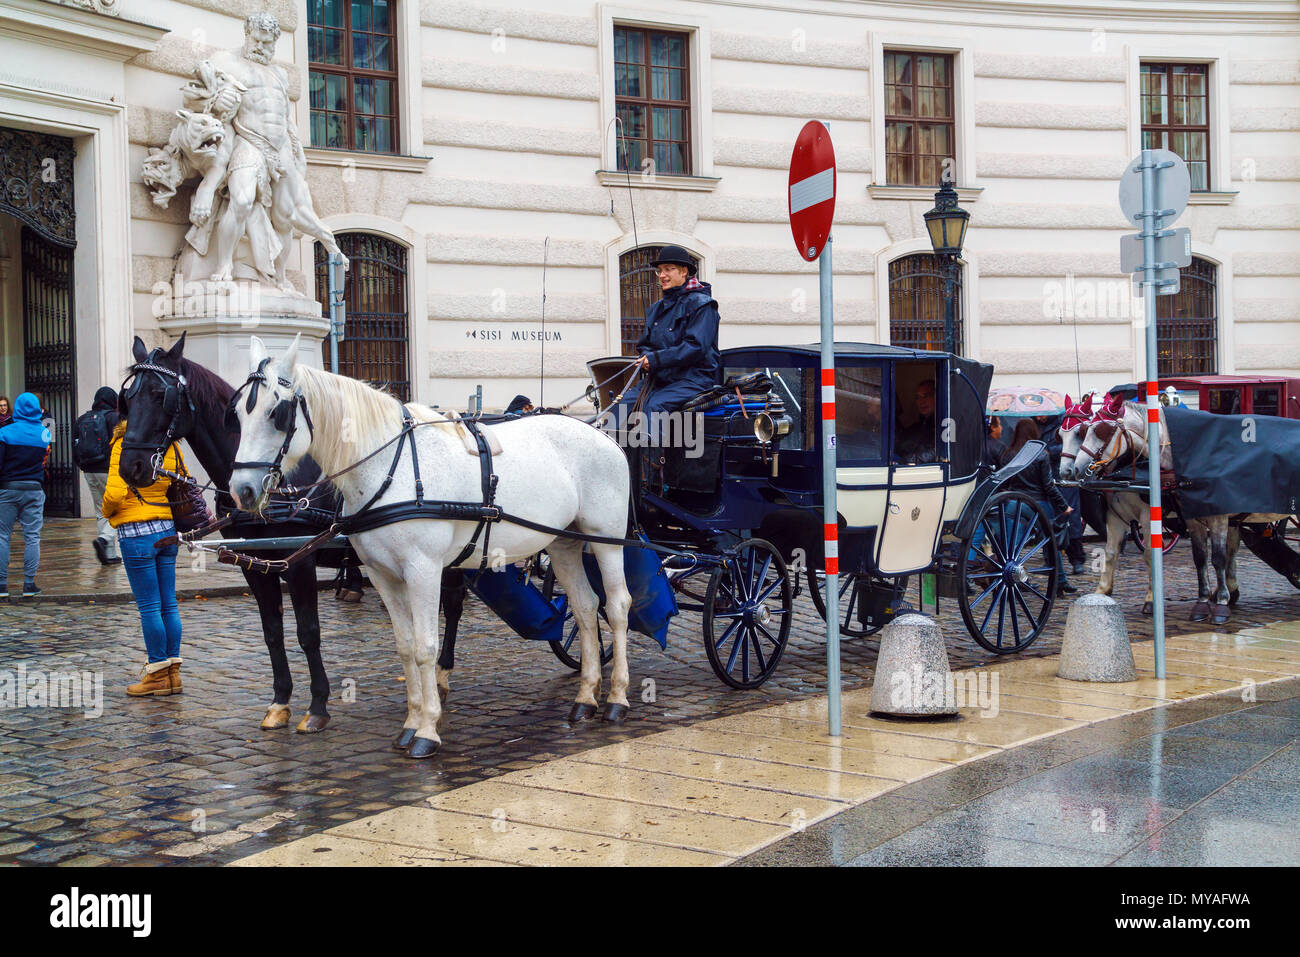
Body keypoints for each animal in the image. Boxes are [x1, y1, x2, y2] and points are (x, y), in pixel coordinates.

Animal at [113, 335, 467, 733]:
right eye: (127, 399)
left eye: (160, 394)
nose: (130, 467)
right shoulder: (253, 564)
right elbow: (272, 633)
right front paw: (279, 701)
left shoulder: (300, 563)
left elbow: (308, 632)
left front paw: (317, 706)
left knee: (453, 603)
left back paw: (442, 673)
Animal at [228, 332, 634, 759]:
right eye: (237, 413)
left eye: (277, 413)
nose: (242, 491)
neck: (391, 469)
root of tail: (601, 434)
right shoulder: (383, 575)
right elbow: (406, 647)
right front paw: (410, 723)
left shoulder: (422, 569)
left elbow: (425, 646)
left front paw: (427, 730)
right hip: (564, 543)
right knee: (586, 608)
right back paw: (585, 698)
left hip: (606, 540)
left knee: (616, 607)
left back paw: (616, 699)